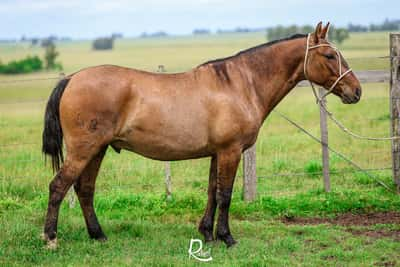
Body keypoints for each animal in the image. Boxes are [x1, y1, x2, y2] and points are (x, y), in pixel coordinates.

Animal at [42, 22, 360, 250]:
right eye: (329, 55)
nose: (355, 91)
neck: (240, 84)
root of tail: (72, 78)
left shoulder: (217, 153)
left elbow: (211, 192)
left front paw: (207, 233)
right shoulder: (231, 151)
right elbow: (225, 195)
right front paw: (227, 237)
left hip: (98, 149)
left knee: (84, 189)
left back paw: (98, 235)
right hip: (84, 149)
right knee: (59, 186)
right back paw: (51, 239)